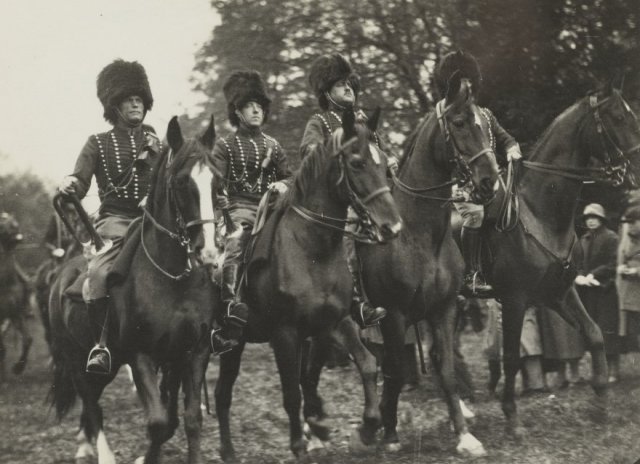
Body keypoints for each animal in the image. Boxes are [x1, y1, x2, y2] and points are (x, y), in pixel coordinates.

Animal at [49, 116, 217, 464]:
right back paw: (101, 454)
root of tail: (61, 276)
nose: (209, 252)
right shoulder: (141, 355)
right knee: (92, 408)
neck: (174, 278)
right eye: (182, 183)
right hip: (78, 360)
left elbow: (189, 420)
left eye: (216, 180)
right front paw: (145, 457)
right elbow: (158, 423)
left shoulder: (193, 352)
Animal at [213, 109, 403, 461]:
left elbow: (366, 364)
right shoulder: (284, 333)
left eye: (384, 163)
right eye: (357, 162)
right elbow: (291, 391)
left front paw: (365, 429)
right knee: (218, 393)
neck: (311, 249)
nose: (392, 227)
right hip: (229, 343)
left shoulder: (334, 322)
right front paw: (299, 444)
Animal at [354, 74, 500, 456]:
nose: (489, 182)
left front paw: (464, 435)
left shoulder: (443, 310)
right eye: (460, 122)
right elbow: (395, 372)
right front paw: (389, 432)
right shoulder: (394, 315)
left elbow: (445, 368)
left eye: (485, 125)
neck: (418, 235)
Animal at [482, 79, 640, 438]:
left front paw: (601, 403)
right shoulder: (514, 299)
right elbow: (512, 357)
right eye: (618, 117)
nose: (635, 171)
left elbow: (594, 334)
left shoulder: (559, 292)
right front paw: (512, 417)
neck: (539, 213)